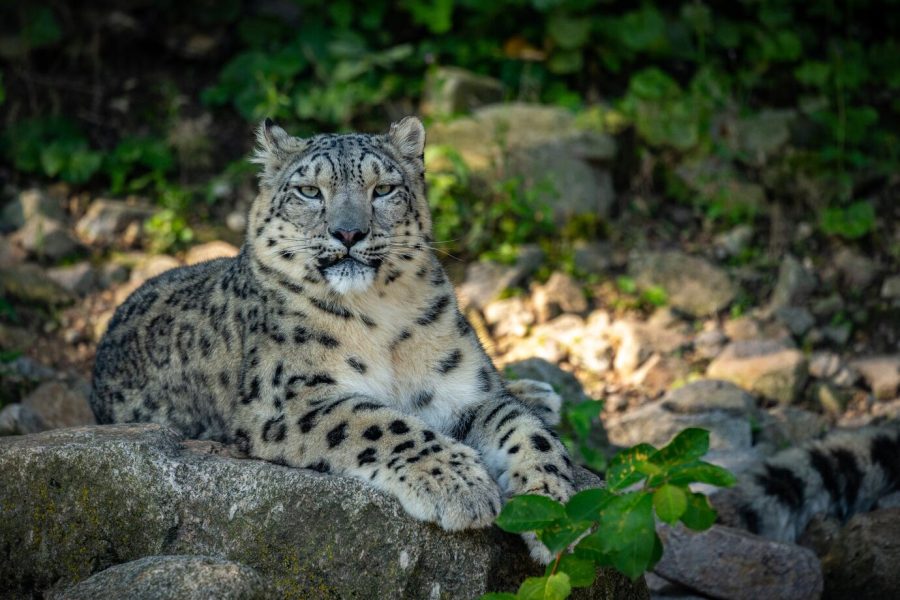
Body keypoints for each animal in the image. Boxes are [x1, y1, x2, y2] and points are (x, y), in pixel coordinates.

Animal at [91, 118, 576, 564]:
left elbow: (527, 431)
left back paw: (540, 394)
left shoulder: (465, 390)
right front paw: (462, 485)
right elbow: (380, 422)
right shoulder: (289, 399)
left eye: (383, 189)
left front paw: (555, 515)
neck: (381, 316)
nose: (348, 233)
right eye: (309, 190)